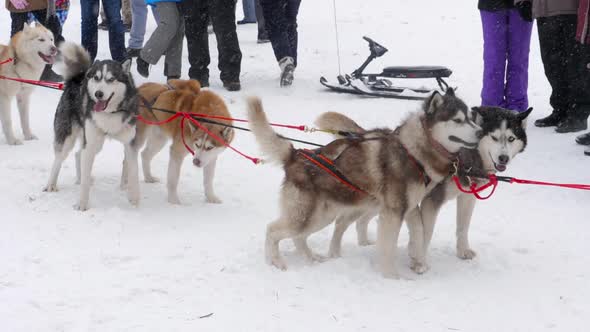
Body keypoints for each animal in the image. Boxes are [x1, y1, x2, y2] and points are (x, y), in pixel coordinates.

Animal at [44, 42, 139, 211]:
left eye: (111, 79)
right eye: (97, 78)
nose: (98, 94)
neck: (110, 113)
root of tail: (78, 78)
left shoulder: (130, 144)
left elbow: (133, 172)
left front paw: (134, 200)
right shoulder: (90, 144)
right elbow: (85, 182)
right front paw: (82, 204)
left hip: (94, 143)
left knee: (78, 154)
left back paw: (80, 177)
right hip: (69, 137)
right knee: (59, 159)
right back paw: (51, 184)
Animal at [247, 89, 484, 278]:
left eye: (471, 118)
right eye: (457, 120)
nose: (481, 132)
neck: (413, 152)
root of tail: (295, 154)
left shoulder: (408, 208)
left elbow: (419, 230)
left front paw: (417, 258)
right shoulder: (393, 212)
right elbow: (388, 246)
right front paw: (391, 276)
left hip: (321, 216)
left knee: (299, 238)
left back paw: (312, 259)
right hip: (306, 216)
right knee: (272, 230)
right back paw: (275, 262)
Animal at [322, 107, 536, 272]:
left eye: (511, 138)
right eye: (493, 137)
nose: (503, 158)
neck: (468, 156)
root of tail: (365, 135)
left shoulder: (467, 197)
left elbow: (462, 227)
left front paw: (462, 251)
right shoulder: (430, 201)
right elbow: (425, 233)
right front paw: (418, 262)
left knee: (360, 221)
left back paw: (364, 243)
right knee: (341, 221)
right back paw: (334, 253)